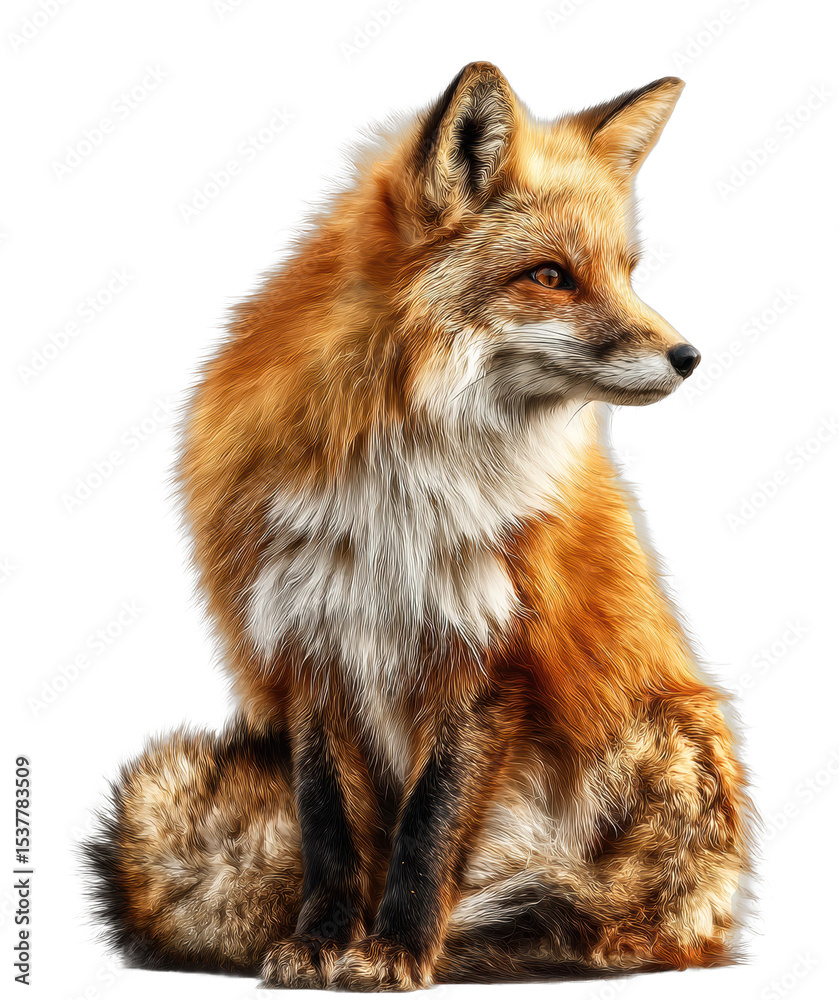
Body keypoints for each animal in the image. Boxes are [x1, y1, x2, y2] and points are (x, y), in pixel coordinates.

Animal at [86, 63, 752, 991]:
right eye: (551, 276)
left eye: (626, 271)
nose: (688, 357)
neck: (401, 488)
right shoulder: (310, 648)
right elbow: (332, 834)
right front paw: (324, 942)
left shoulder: (490, 658)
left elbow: (427, 831)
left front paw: (397, 948)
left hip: (656, 746)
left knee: (620, 915)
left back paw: (552, 939)